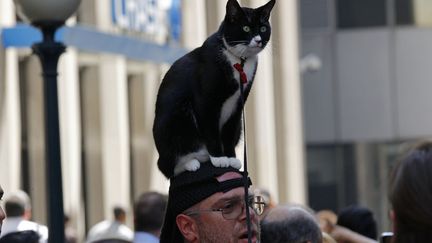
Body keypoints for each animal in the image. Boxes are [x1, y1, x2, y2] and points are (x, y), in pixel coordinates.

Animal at [154, 0, 276, 178]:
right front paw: (219, 158)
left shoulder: (238, 103)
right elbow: (210, 128)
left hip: (239, 126)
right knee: (167, 167)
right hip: (176, 118)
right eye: (246, 28)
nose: (259, 40)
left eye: (263, 28)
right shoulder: (206, 100)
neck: (239, 61)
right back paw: (190, 162)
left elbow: (228, 131)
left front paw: (230, 157)